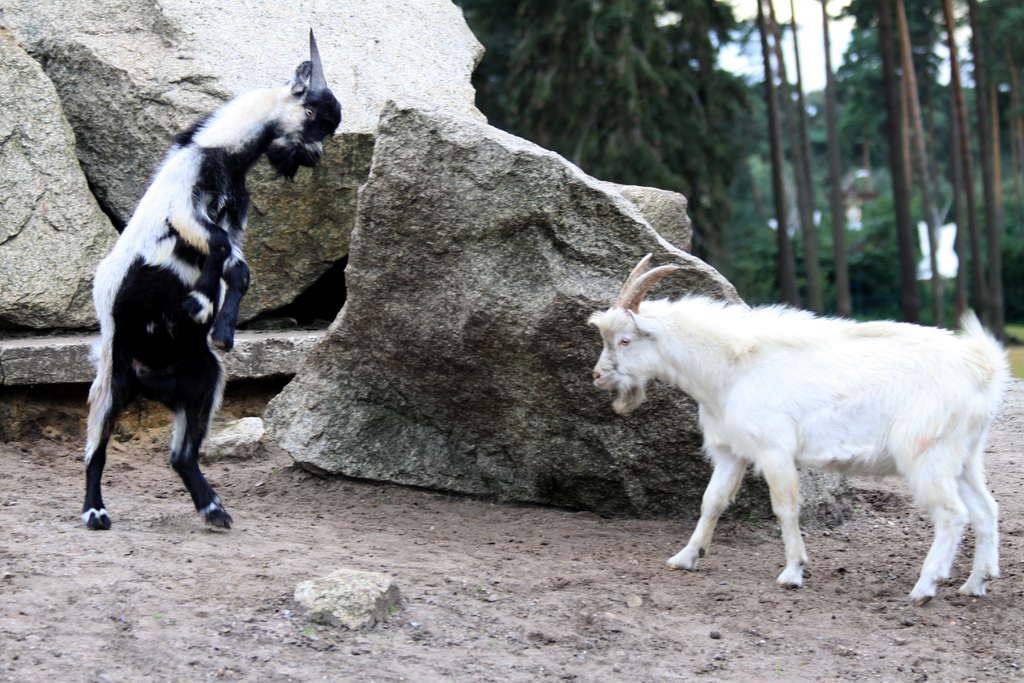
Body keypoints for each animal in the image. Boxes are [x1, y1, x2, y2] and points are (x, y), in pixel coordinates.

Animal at [79, 31, 342, 532]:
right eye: (312, 114)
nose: (316, 156)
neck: (220, 154)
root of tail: (151, 381)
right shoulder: (186, 208)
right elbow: (217, 248)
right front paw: (200, 302)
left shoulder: (233, 221)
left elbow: (238, 269)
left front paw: (221, 329)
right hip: (111, 379)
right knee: (95, 451)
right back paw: (95, 512)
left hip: (203, 382)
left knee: (181, 455)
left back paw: (214, 509)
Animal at [593, 254, 1007, 602]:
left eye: (625, 340)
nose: (597, 376)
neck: (732, 369)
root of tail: (982, 368)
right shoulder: (731, 451)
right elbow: (711, 501)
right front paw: (686, 557)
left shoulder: (775, 450)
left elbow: (785, 508)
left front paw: (793, 572)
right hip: (964, 455)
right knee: (986, 509)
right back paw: (975, 583)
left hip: (927, 453)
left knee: (952, 514)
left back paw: (925, 587)